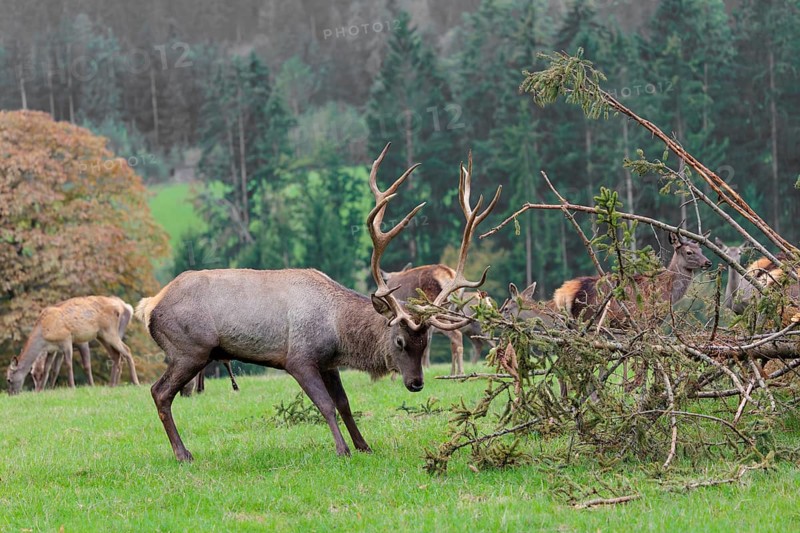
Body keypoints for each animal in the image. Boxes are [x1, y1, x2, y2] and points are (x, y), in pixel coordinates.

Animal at [6, 296, 139, 395]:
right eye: (32, 375)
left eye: (9, 379)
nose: (11, 394)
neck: (43, 334)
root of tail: (123, 307)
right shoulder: (52, 349)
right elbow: (48, 368)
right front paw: (41, 390)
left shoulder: (67, 339)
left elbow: (69, 364)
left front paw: (72, 387)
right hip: (102, 335)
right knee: (116, 355)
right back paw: (111, 385)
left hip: (110, 331)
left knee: (126, 350)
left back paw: (135, 383)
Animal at [134, 144, 501, 461]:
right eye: (399, 341)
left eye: (424, 343)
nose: (415, 383)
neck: (337, 329)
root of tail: (149, 306)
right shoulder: (300, 357)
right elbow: (324, 405)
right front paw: (343, 449)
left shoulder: (328, 363)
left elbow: (345, 404)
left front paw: (364, 445)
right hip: (190, 349)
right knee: (159, 391)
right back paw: (183, 454)